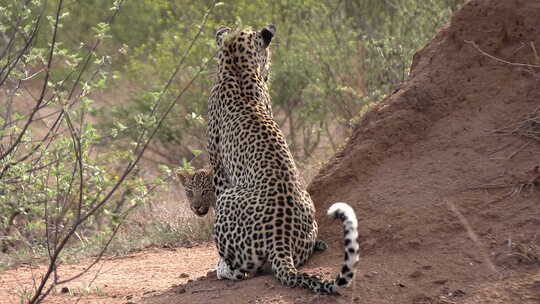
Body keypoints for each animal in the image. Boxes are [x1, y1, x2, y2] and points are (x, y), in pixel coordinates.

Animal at [202, 25, 358, 294]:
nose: (269, 73)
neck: (236, 66)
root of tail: (280, 242)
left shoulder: (219, 168)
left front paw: (219, 262)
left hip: (227, 199)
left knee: (242, 271)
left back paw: (222, 269)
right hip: (309, 212)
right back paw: (318, 244)